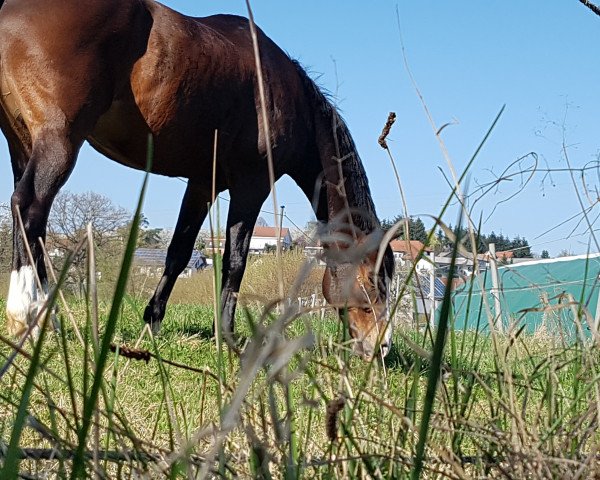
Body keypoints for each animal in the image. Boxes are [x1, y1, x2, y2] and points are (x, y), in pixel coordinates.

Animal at [0, 0, 396, 360]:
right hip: (59, 140)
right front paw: (230, 338)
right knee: (30, 206)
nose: (381, 346)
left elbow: (179, 253)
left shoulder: (203, 184)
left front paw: (153, 323)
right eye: (373, 281)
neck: (283, 90)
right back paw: (28, 314)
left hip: (22, 142)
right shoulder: (251, 185)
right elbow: (235, 261)